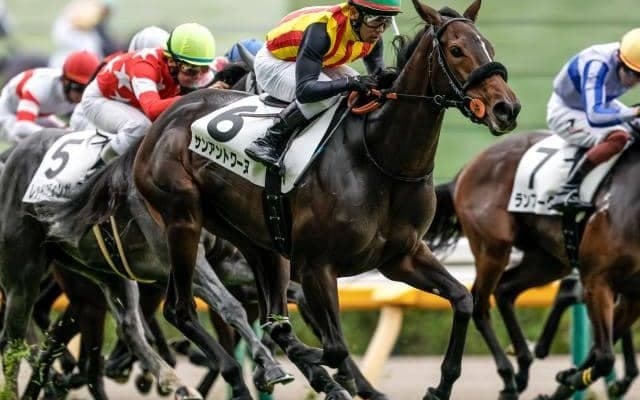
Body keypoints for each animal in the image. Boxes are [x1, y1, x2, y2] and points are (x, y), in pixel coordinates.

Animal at [0, 129, 292, 400]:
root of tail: (13, 155)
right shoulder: (190, 259)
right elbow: (229, 306)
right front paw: (269, 365)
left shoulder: (225, 262)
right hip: (25, 278)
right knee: (13, 341)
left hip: (106, 273)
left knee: (129, 329)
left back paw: (175, 382)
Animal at [70, 1, 517, 399]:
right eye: (456, 50)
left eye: (491, 47)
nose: (506, 108)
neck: (379, 156)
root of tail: (159, 123)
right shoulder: (317, 265)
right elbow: (334, 346)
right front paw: (308, 363)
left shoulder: (401, 256)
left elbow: (462, 300)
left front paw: (440, 386)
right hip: (183, 221)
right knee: (179, 309)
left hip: (255, 239)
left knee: (263, 308)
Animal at [425, 129, 640, 399]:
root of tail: (465, 171)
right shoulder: (598, 281)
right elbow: (604, 357)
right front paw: (572, 379)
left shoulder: (631, 295)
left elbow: (599, 350)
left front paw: (566, 380)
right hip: (493, 249)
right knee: (479, 303)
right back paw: (507, 377)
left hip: (549, 260)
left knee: (506, 289)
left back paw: (524, 365)